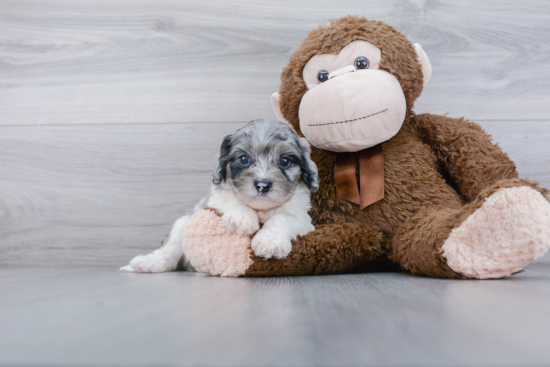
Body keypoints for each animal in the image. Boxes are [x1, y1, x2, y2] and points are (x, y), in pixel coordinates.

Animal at [121, 118, 320, 274]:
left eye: (285, 161)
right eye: (244, 159)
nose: (262, 185)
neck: (260, 210)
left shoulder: (303, 219)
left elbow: (282, 218)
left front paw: (269, 241)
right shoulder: (213, 200)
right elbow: (230, 199)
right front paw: (242, 218)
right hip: (183, 223)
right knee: (170, 250)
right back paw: (147, 263)